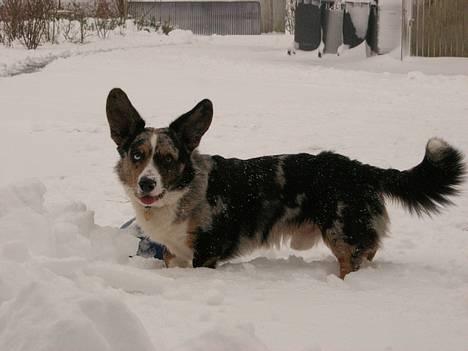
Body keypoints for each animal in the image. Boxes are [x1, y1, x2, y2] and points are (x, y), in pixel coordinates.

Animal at [107, 88, 464, 278]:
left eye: (167, 159)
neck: (184, 193)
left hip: (340, 232)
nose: (147, 184)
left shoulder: (205, 253)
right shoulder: (174, 254)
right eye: (137, 155)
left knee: (356, 256)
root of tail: (361, 169)